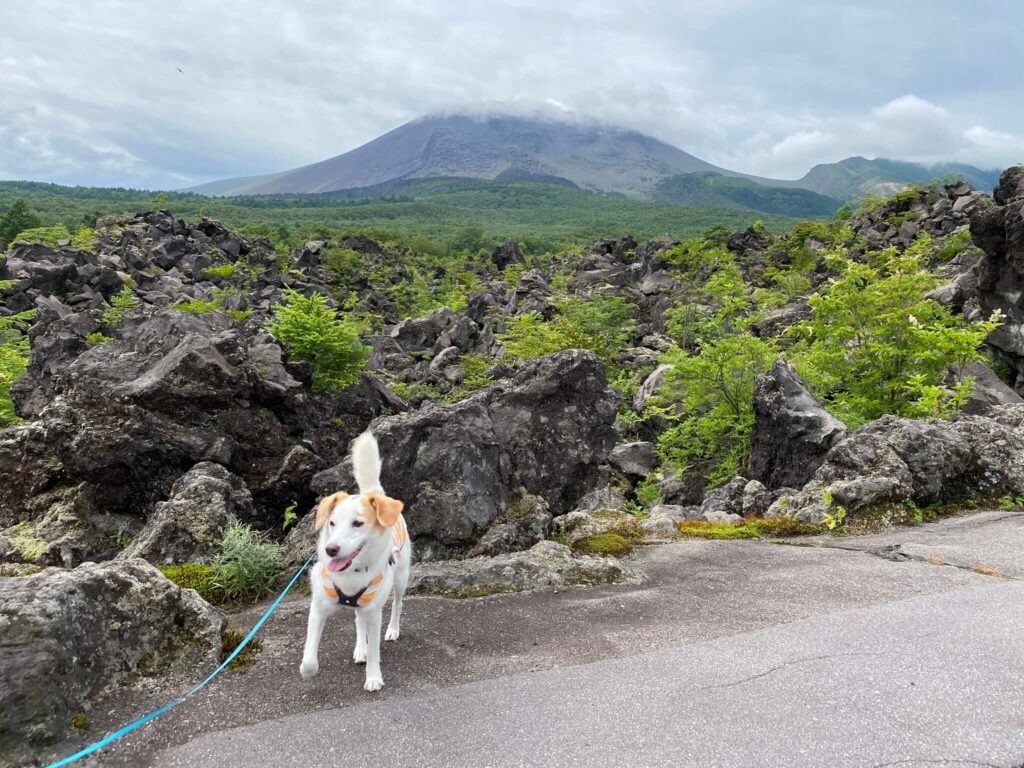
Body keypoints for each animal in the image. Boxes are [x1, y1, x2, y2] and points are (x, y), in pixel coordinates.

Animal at [299, 434, 409, 692]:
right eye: (332, 523)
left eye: (358, 523)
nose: (331, 550)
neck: (352, 574)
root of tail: (372, 492)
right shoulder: (318, 607)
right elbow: (309, 657)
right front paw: (309, 670)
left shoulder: (374, 611)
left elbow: (375, 649)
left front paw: (374, 677)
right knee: (358, 620)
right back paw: (360, 649)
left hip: (401, 578)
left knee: (397, 604)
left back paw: (393, 630)